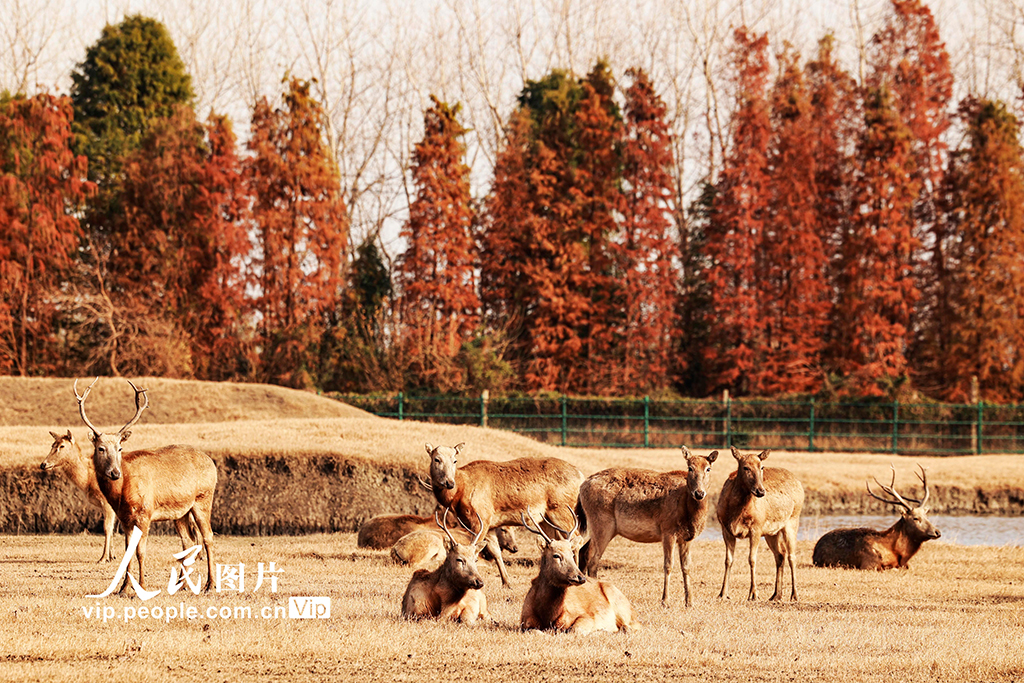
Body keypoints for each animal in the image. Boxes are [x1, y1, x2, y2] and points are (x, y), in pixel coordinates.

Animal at [73, 376, 218, 593]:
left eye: (120, 448)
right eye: (100, 448)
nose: (115, 473)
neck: (123, 493)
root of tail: (212, 463)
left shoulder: (145, 513)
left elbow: (141, 551)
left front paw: (141, 586)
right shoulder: (124, 517)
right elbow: (127, 552)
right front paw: (123, 588)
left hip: (203, 499)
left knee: (208, 537)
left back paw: (210, 584)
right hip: (181, 512)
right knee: (187, 541)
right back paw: (181, 584)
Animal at [423, 444, 585, 589]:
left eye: (454, 460)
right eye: (436, 459)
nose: (449, 482)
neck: (459, 494)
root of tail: (581, 475)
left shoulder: (480, 518)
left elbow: (475, 548)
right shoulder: (489, 524)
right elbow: (495, 551)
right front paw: (506, 583)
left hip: (562, 510)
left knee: (577, 538)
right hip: (545, 519)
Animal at [577, 448, 720, 610]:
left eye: (708, 468)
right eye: (690, 468)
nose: (699, 493)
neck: (691, 515)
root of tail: (582, 487)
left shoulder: (686, 538)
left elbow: (686, 567)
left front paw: (689, 602)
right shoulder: (668, 530)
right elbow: (668, 565)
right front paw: (665, 601)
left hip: (603, 528)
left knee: (584, 552)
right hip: (602, 523)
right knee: (593, 559)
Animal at [716, 448, 802, 602]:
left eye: (761, 467)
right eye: (745, 467)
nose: (760, 491)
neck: (736, 511)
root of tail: (800, 484)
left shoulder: (756, 527)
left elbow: (752, 559)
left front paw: (753, 594)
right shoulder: (725, 529)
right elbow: (728, 560)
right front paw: (723, 593)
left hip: (792, 520)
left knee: (792, 556)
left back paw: (794, 595)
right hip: (772, 532)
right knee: (780, 554)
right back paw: (776, 595)